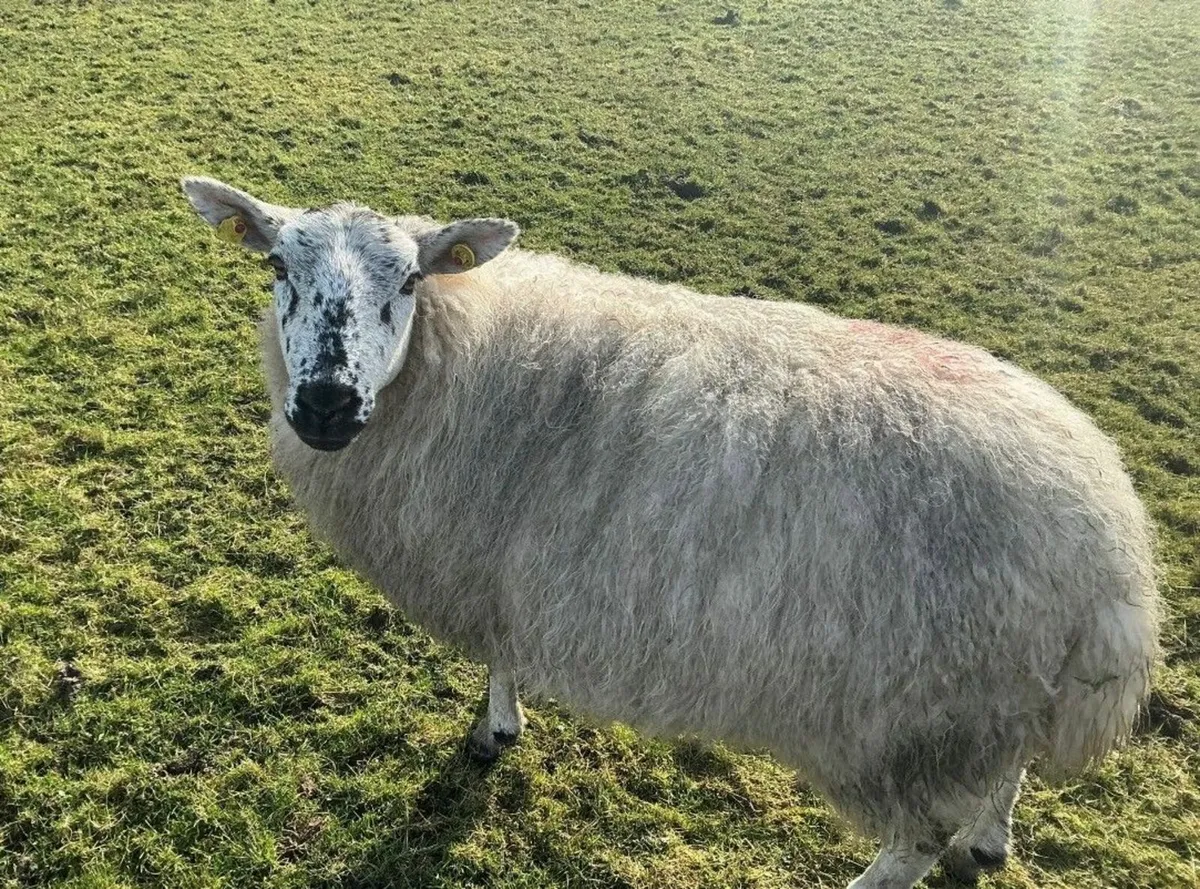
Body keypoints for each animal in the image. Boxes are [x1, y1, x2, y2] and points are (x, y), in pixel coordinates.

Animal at [181, 175, 1161, 889]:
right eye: (278, 270)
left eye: (413, 280)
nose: (325, 404)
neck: (462, 354)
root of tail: (1112, 542)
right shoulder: (513, 560)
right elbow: (506, 646)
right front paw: (502, 724)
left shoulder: (496, 557)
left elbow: (498, 650)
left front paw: (496, 729)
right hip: (998, 696)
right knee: (1009, 768)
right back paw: (990, 841)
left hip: (915, 717)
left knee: (914, 840)